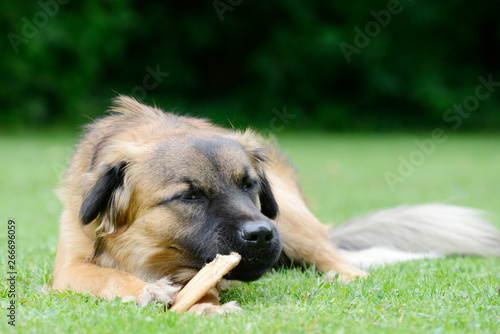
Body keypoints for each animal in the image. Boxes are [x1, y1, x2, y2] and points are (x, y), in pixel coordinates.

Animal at [53, 96, 500, 314]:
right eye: (190, 195)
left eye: (249, 185)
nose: (261, 234)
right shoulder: (70, 265)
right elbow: (105, 277)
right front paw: (147, 290)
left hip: (293, 221)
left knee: (341, 262)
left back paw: (341, 276)